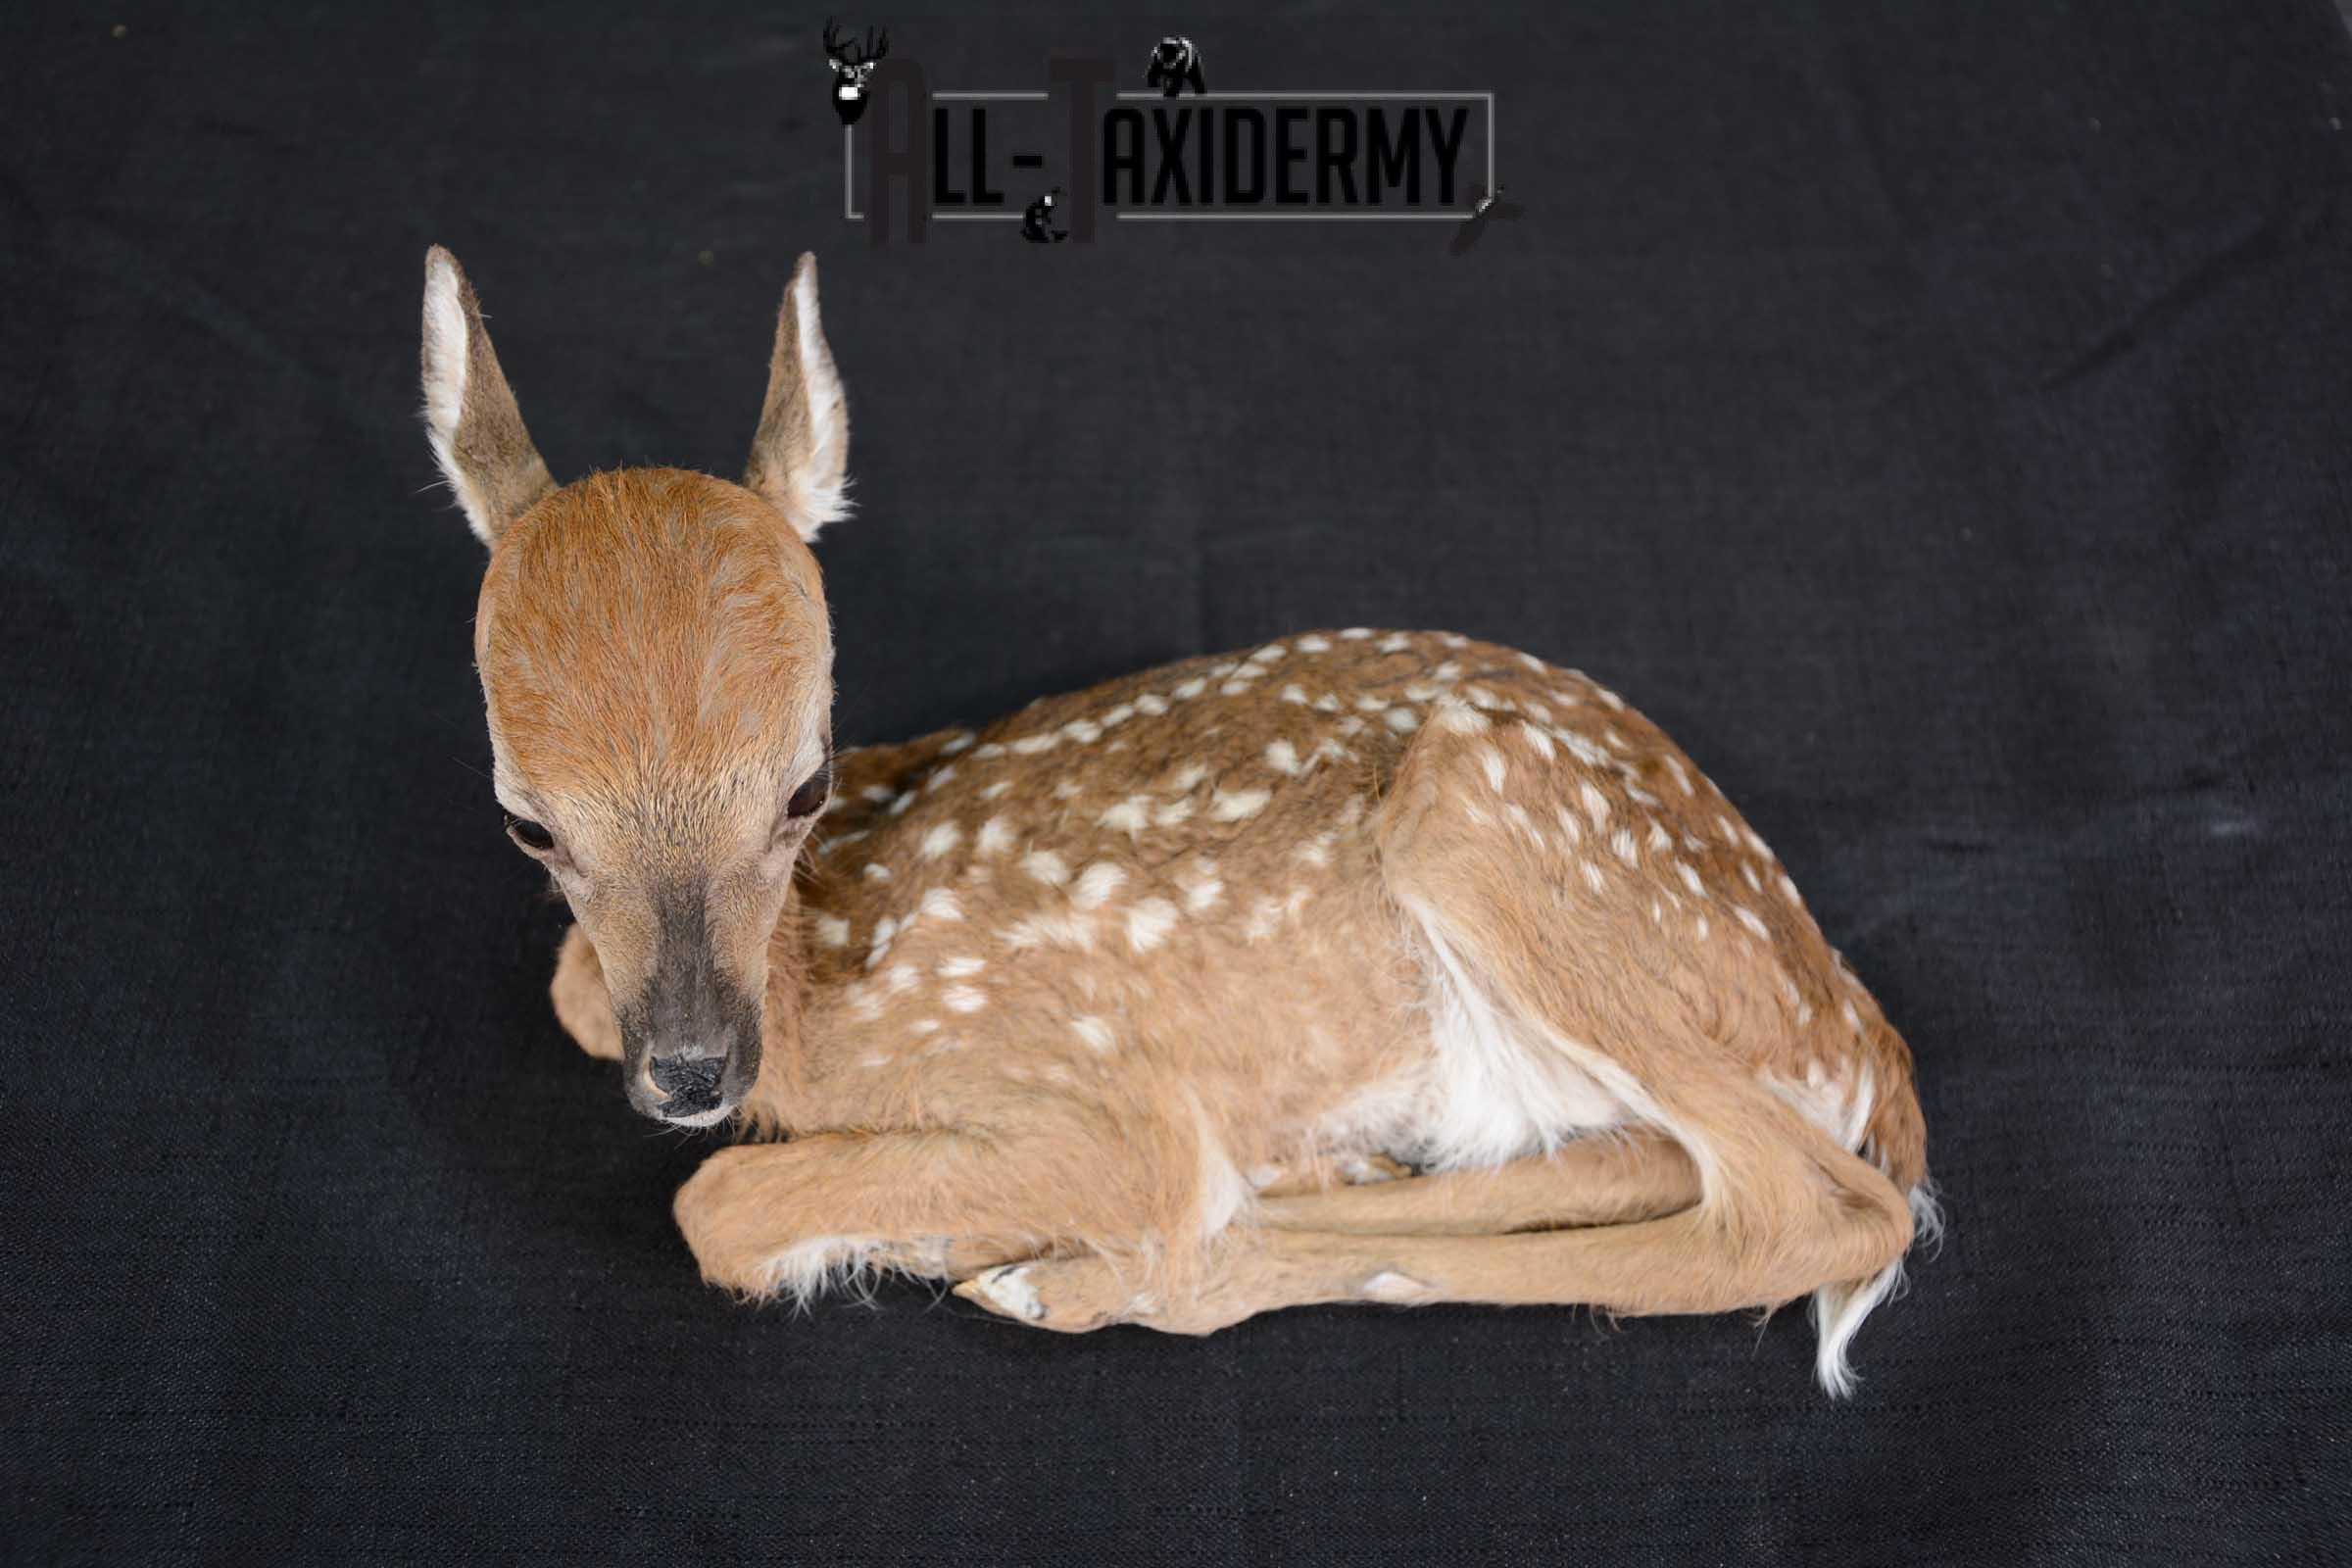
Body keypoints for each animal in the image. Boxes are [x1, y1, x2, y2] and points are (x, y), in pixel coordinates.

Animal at [419, 245, 1938, 1394]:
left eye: (805, 782)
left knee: (1815, 1211)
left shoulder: (1093, 1090)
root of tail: (1852, 1022)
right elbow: (575, 988)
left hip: (1481, 815)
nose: (690, 1073)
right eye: (527, 824)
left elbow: (718, 1203)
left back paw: (1102, 1272)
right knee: (1647, 1159)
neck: (817, 993)